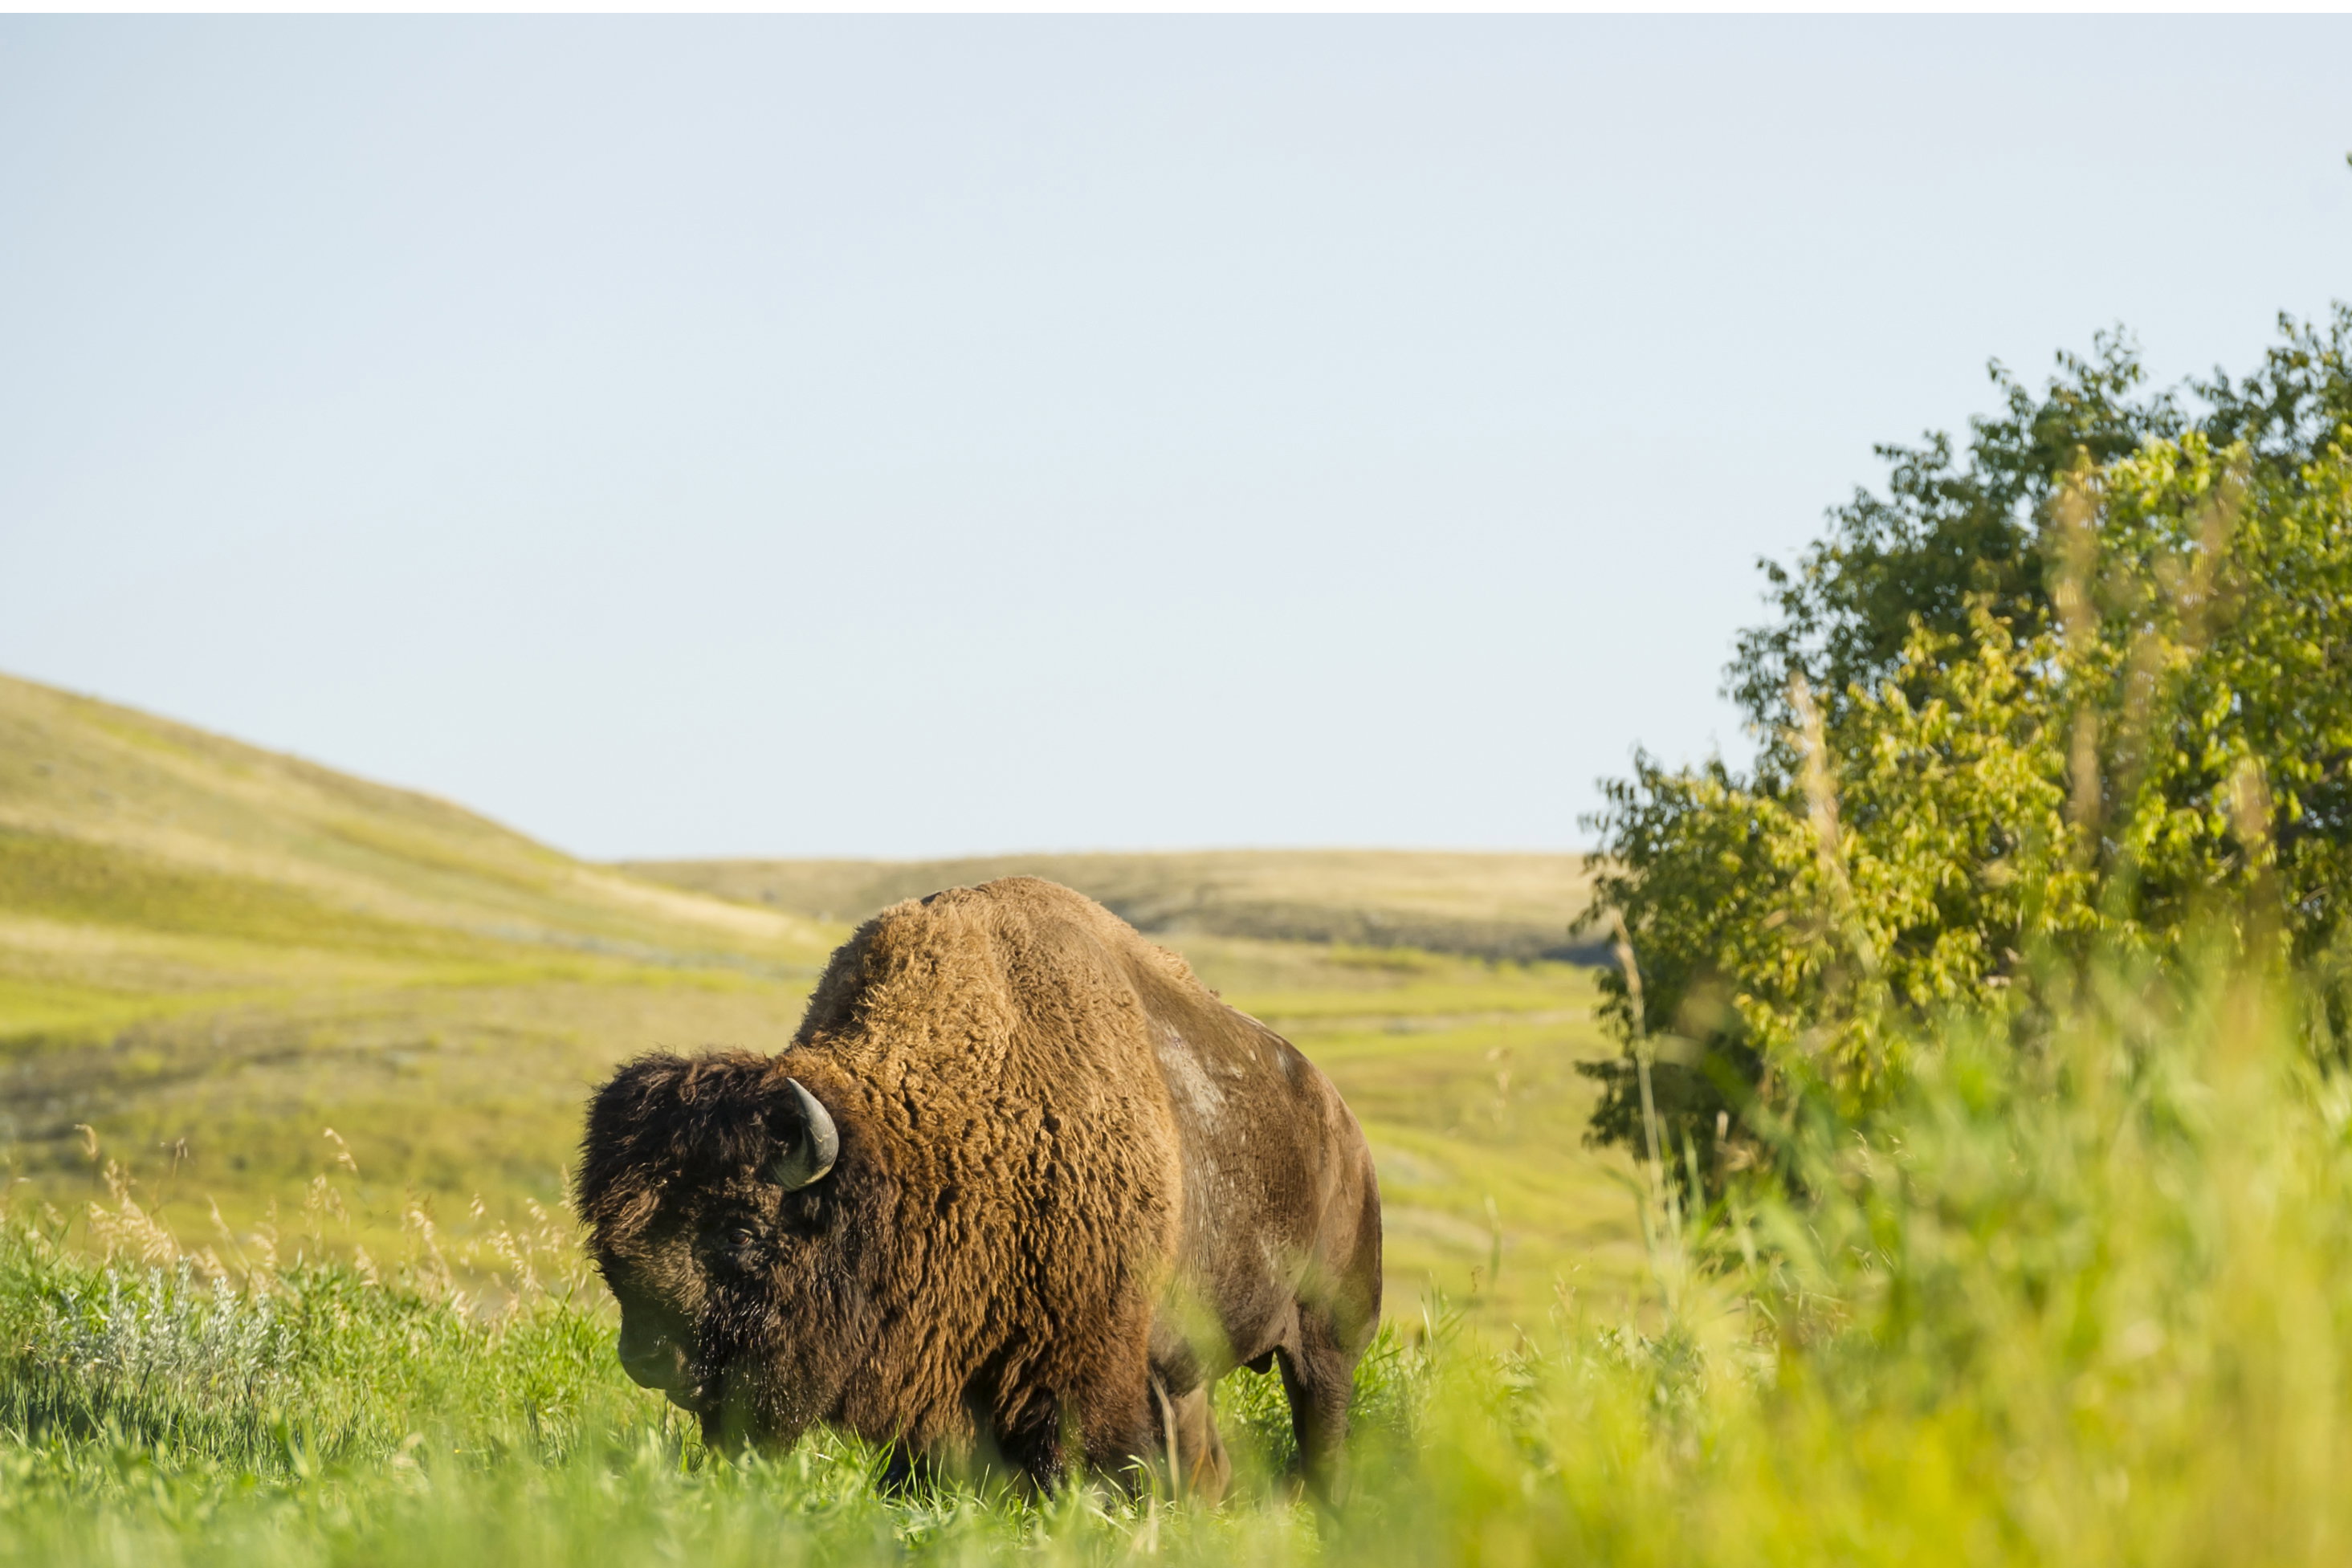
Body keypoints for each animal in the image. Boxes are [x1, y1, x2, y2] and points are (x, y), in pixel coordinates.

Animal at [577, 876, 1383, 1498]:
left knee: (1321, 1440)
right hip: (1192, 1374)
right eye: (608, 1233)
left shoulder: (1087, 1376)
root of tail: (1345, 1127)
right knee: (1209, 1462)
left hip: (1328, 1341)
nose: (648, 1358)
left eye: (742, 1228)